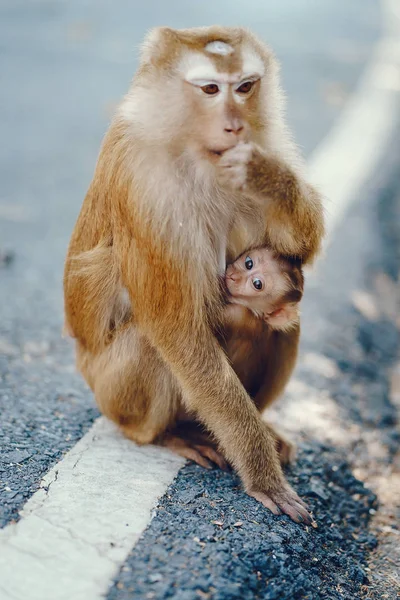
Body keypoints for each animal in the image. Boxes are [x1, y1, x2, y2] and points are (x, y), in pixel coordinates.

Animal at [63, 25, 324, 524]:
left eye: (245, 87)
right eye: (210, 90)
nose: (235, 124)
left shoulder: (267, 138)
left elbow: (298, 249)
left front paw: (267, 176)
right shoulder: (145, 186)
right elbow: (177, 329)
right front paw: (262, 475)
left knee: (284, 324)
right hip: (110, 393)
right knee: (151, 342)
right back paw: (169, 435)